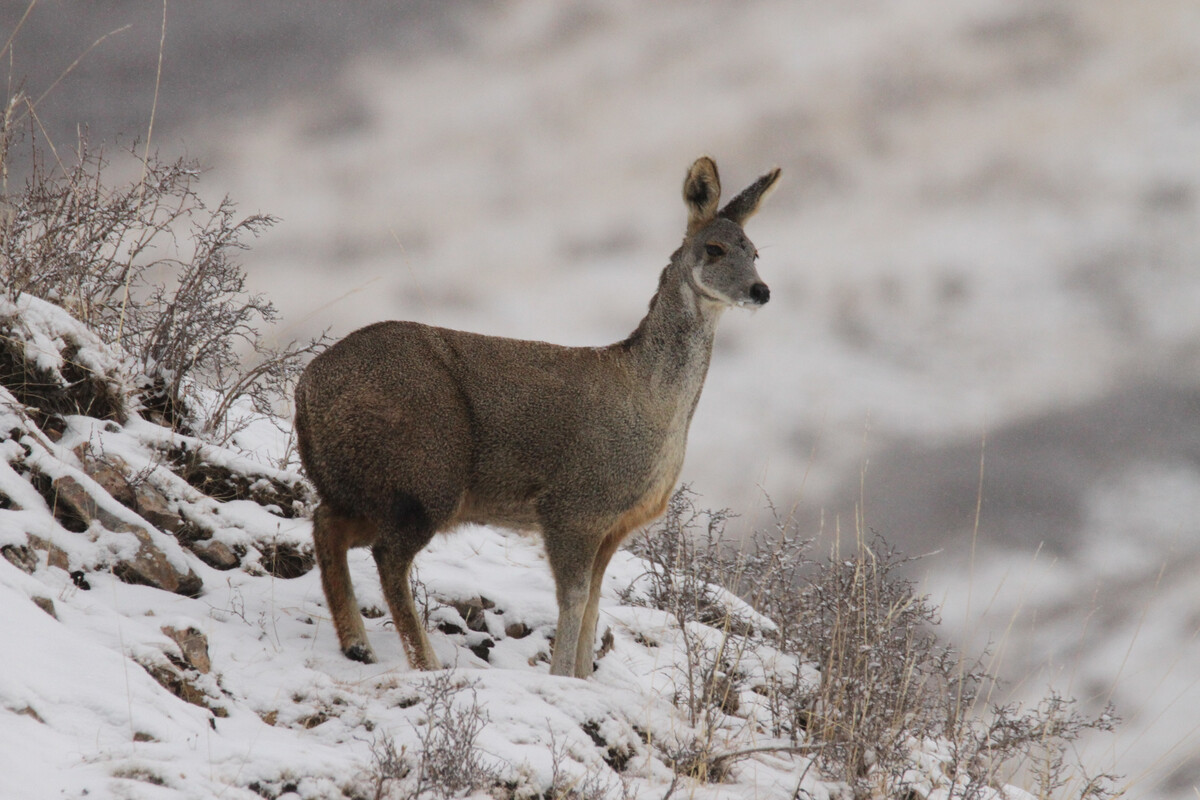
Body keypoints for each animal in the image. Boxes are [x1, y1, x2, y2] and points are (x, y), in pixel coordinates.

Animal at [295, 155, 782, 676]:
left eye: (755, 252)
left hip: (365, 483)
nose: (760, 290)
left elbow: (594, 603)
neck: (651, 401)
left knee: (326, 524)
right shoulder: (573, 507)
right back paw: (425, 661)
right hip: (425, 474)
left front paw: (582, 678)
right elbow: (573, 600)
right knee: (387, 556)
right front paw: (562, 676)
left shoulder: (614, 526)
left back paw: (357, 645)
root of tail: (305, 390)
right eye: (714, 248)